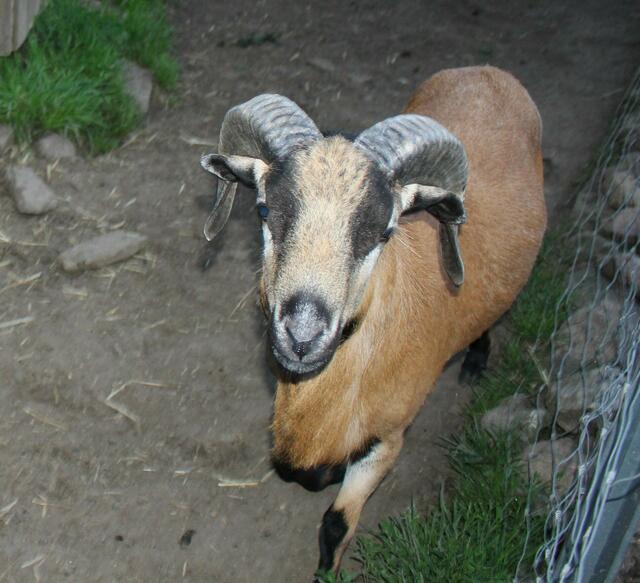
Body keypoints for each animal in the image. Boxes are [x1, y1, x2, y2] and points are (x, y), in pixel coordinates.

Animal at [200, 65, 546, 577]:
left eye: (384, 232)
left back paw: (476, 360)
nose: (302, 335)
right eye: (263, 210)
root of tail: (488, 73)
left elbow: (335, 524)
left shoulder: (388, 438)